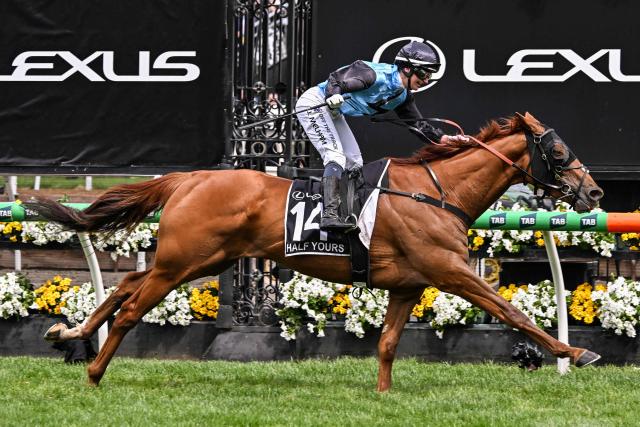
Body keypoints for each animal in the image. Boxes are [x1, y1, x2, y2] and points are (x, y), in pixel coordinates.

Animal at [33, 112, 604, 392]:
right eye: (558, 152)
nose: (595, 193)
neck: (436, 191)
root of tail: (187, 178)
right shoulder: (450, 271)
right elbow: (511, 311)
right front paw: (575, 352)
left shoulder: (408, 284)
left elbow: (388, 344)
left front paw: (382, 396)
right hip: (184, 261)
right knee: (131, 307)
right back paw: (94, 371)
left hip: (199, 260)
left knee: (126, 286)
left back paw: (71, 333)